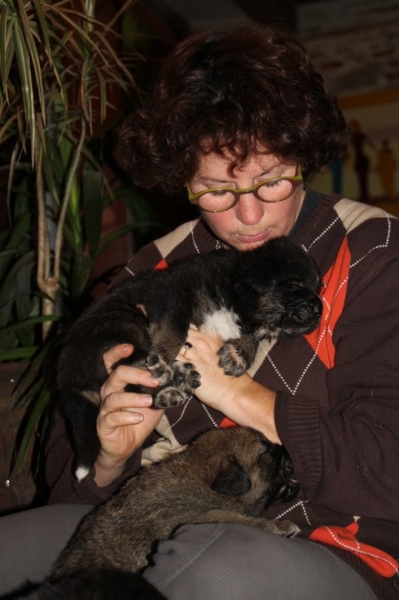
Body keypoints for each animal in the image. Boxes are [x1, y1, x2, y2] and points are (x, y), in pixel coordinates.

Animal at [57, 234, 324, 478]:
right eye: (294, 285)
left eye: (316, 288)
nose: (319, 308)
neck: (235, 291)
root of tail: (67, 380)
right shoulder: (175, 293)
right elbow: (175, 330)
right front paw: (162, 360)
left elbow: (251, 337)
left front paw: (239, 354)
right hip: (124, 324)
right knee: (133, 375)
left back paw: (173, 388)